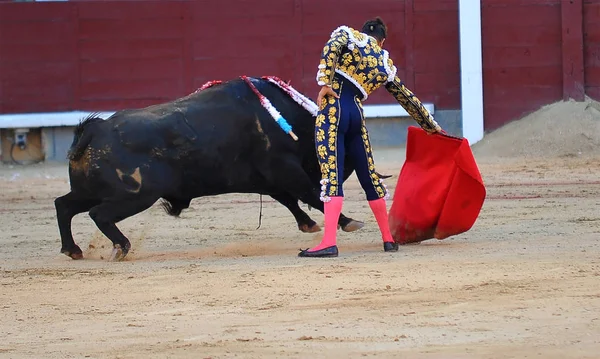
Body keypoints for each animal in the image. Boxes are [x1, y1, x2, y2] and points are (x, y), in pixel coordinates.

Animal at [54, 76, 378, 262]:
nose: (346, 169)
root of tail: (96, 130)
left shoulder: (270, 179)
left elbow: (290, 199)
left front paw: (308, 224)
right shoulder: (284, 169)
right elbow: (311, 195)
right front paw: (348, 221)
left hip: (90, 190)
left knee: (63, 205)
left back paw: (73, 250)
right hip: (136, 195)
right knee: (98, 214)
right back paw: (120, 247)